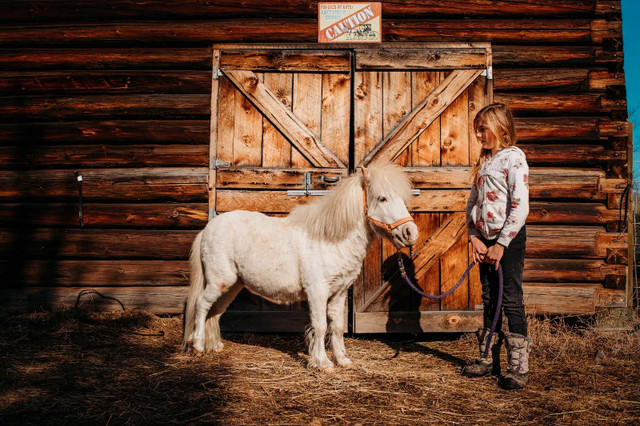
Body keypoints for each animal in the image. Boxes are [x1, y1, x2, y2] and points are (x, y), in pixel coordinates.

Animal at [182, 164, 418, 372]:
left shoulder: (339, 293)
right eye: (382, 198)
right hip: (219, 282)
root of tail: (208, 229)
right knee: (202, 305)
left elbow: (337, 327)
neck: (330, 239)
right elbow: (320, 326)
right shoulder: (317, 292)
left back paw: (215, 347)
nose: (410, 233)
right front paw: (323, 364)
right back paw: (198, 346)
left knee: (215, 311)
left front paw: (343, 360)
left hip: (232, 286)